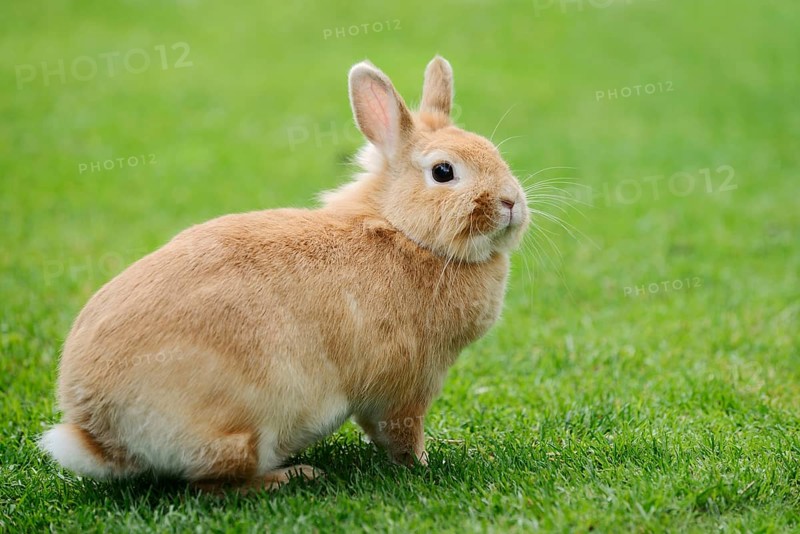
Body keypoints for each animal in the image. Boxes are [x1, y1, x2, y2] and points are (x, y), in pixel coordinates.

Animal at [39, 55, 529, 492]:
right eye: (443, 172)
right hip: (247, 428)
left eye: (495, 153)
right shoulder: (408, 383)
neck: (405, 232)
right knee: (210, 486)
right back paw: (292, 477)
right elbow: (400, 433)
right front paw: (423, 466)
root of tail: (98, 432)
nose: (511, 202)